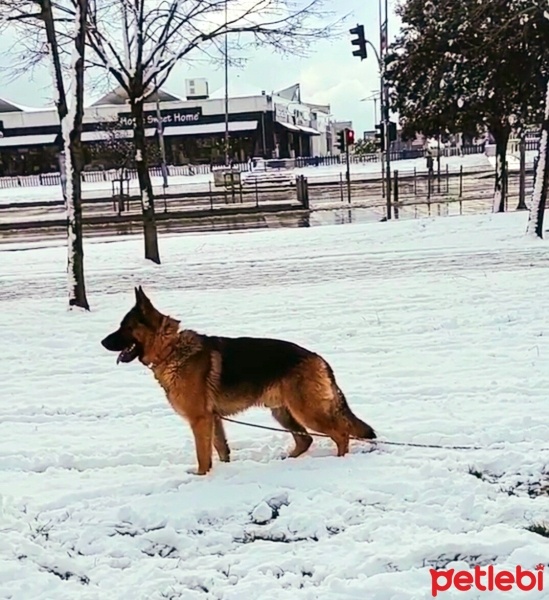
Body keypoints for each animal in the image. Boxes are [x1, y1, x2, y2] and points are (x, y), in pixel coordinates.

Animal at [100, 288, 374, 476]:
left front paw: (201, 478)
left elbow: (203, 455)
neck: (170, 349)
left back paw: (338, 461)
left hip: (306, 411)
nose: (102, 342)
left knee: (340, 433)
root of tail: (318, 358)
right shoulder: (214, 419)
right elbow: (221, 450)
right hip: (282, 412)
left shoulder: (200, 420)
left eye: (125, 327)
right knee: (306, 439)